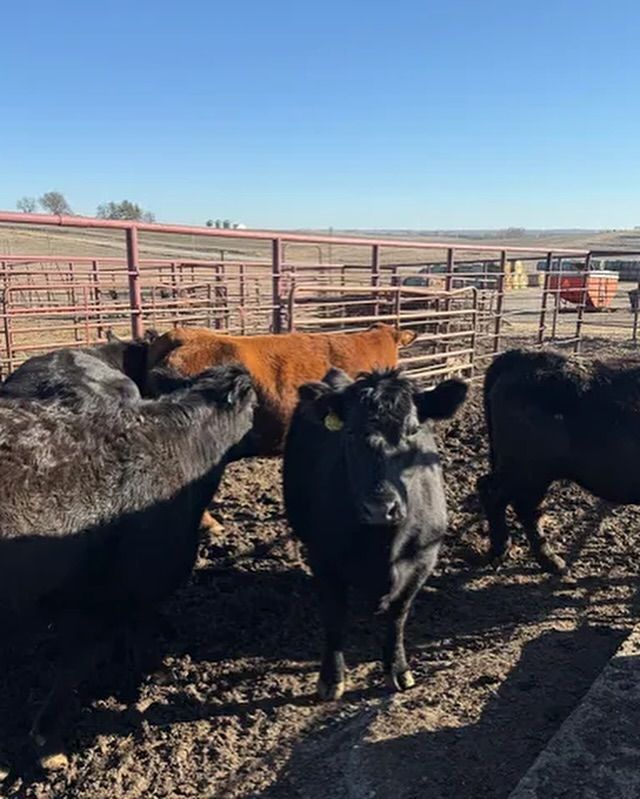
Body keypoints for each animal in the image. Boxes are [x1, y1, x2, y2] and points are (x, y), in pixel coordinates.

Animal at [283, 367, 467, 700]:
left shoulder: (423, 558)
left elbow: (398, 615)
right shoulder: (323, 557)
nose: (381, 508)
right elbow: (334, 616)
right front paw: (331, 678)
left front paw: (398, 670)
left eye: (412, 431)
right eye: (349, 433)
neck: (383, 548)